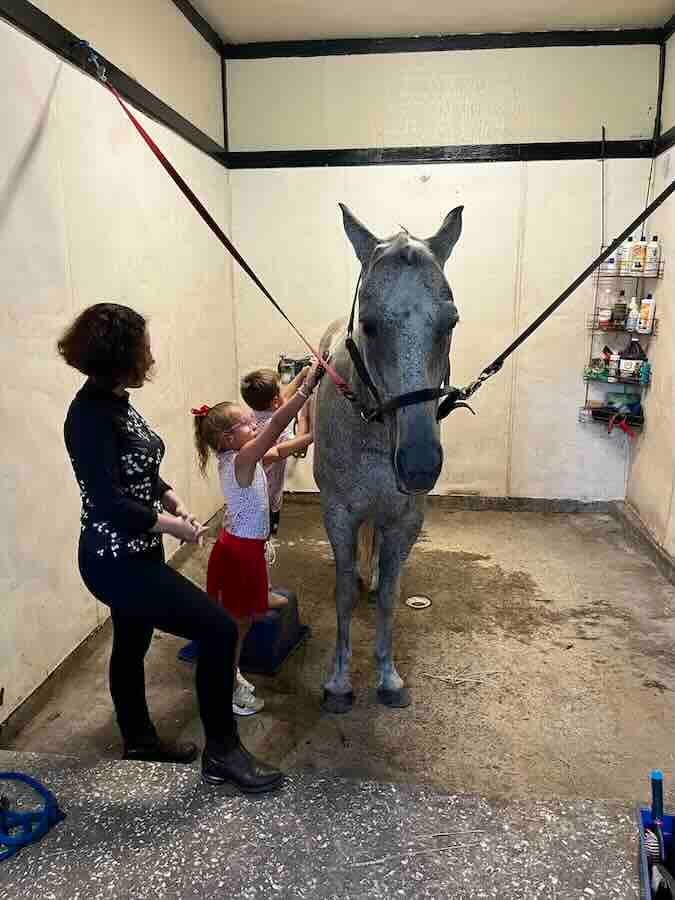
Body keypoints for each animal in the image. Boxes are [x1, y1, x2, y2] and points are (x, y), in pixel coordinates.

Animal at [313, 203, 463, 713]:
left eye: (450, 322)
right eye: (370, 325)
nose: (419, 464)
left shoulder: (405, 519)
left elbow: (392, 598)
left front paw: (388, 676)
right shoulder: (339, 513)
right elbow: (341, 594)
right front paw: (339, 682)